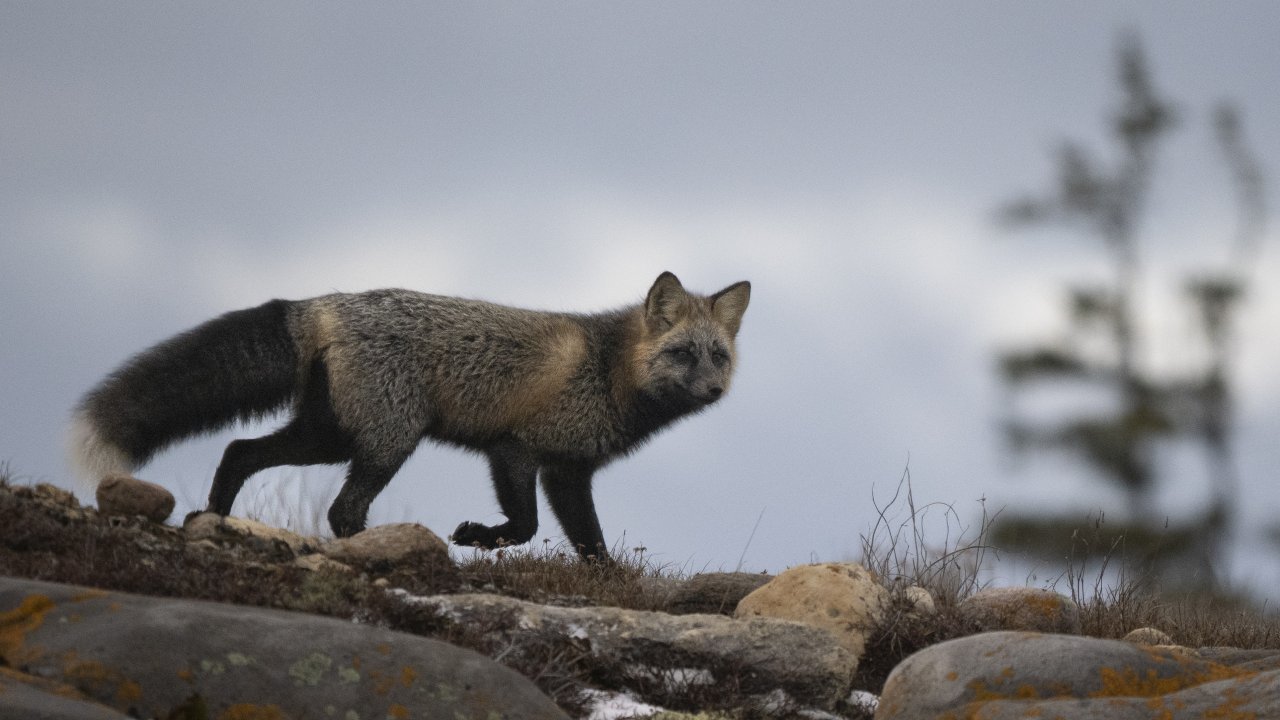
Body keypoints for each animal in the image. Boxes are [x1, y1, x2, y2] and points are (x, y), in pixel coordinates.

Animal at [69, 272, 750, 560]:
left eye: (718, 356)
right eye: (683, 354)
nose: (715, 390)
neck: (609, 369)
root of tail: (324, 302)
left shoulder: (556, 466)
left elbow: (577, 540)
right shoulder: (523, 453)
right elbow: (534, 527)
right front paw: (478, 539)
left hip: (329, 436)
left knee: (240, 451)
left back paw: (213, 517)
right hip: (386, 442)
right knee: (341, 510)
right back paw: (378, 549)